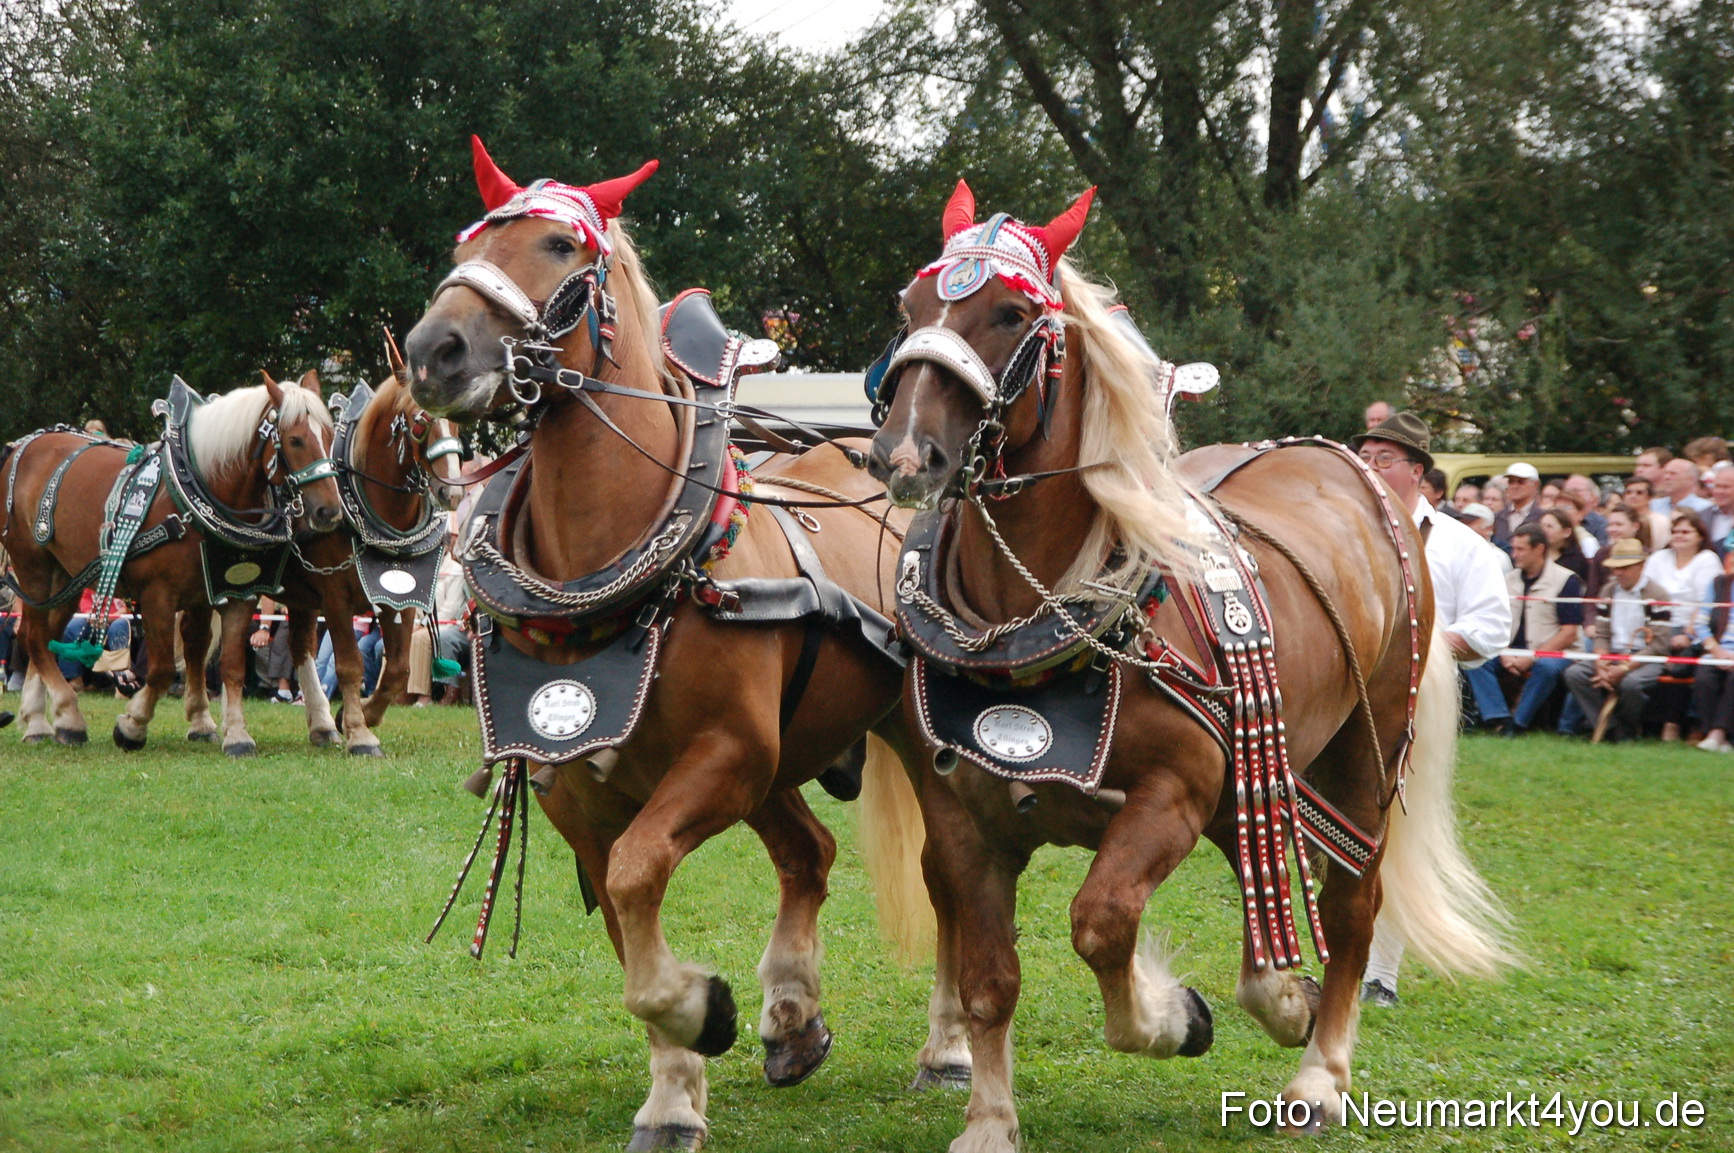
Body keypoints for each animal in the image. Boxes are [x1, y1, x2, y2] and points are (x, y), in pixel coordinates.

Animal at [0, 373, 343, 754]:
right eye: (295, 440)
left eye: (329, 436)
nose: (329, 511)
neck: (200, 492)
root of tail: (26, 444)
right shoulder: (157, 597)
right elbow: (163, 668)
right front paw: (132, 726)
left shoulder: (238, 592)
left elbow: (232, 665)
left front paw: (236, 734)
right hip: (33, 567)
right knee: (34, 636)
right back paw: (61, 716)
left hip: (67, 578)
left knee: (42, 636)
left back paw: (45, 719)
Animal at [275, 364, 465, 755]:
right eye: (419, 421)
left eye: (456, 417)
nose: (452, 491)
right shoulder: (334, 596)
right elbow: (350, 663)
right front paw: (359, 732)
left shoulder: (401, 596)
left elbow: (398, 670)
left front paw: (358, 715)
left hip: (300, 599)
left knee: (300, 647)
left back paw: (321, 725)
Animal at [403, 139, 927, 1151]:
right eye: (464, 241)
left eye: (561, 244)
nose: (432, 350)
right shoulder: (578, 786)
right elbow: (623, 910)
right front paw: (678, 1083)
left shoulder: (726, 754)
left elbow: (640, 873)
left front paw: (702, 1012)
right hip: (779, 765)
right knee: (808, 853)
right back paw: (792, 1019)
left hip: (902, 747)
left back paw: (951, 1048)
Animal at [859, 182, 1511, 1149]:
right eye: (910, 309)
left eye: (1009, 313)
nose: (906, 455)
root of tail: (1360, 472)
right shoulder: (964, 815)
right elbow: (989, 977)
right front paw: (990, 1119)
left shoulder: (1173, 791)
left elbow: (1100, 922)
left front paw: (1172, 1017)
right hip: (1260, 763)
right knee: (1262, 866)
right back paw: (1283, 997)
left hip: (1362, 753)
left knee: (1352, 902)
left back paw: (1319, 1070)